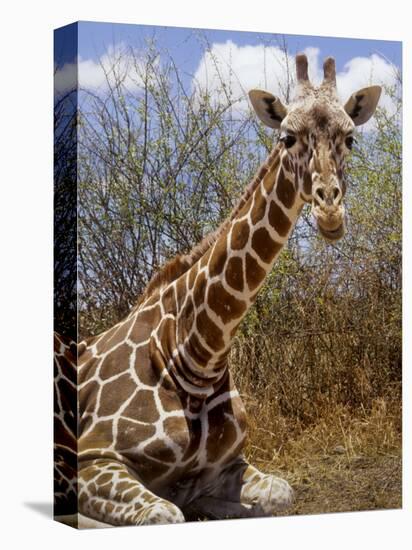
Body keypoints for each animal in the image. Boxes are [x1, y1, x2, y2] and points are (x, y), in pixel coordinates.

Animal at [53, 52, 382, 532]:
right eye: (287, 137)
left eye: (351, 139)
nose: (329, 211)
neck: (195, 353)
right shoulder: (95, 458)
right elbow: (163, 514)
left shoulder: (227, 466)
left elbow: (279, 494)